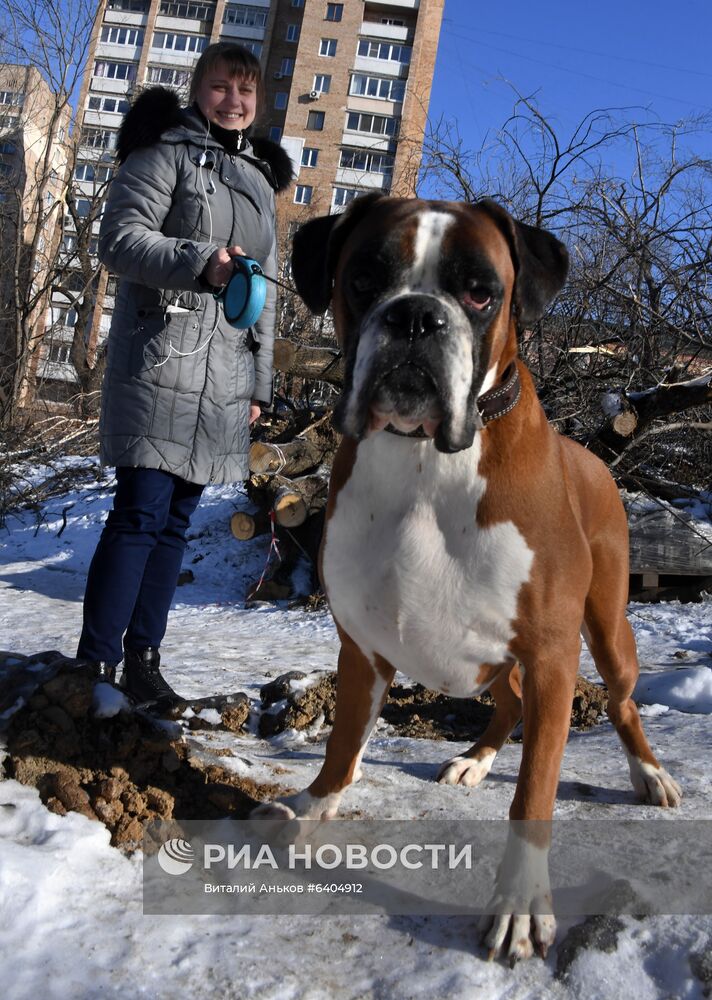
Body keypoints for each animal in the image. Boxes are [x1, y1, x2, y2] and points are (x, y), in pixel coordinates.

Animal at [254, 193, 680, 960]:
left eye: (481, 291)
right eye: (365, 277)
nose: (416, 316)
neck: (424, 460)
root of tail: (596, 456)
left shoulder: (551, 656)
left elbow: (535, 789)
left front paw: (520, 904)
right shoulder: (363, 648)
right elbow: (342, 742)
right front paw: (313, 807)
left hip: (607, 632)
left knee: (622, 702)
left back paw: (650, 774)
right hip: (492, 661)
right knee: (506, 705)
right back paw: (475, 759)